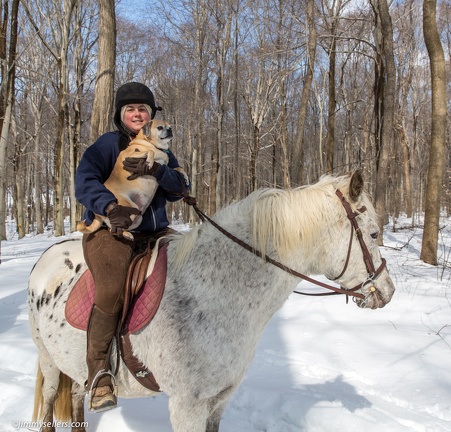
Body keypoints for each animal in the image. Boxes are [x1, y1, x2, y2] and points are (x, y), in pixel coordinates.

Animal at [28, 170, 396, 432]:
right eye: (374, 233)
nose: (388, 291)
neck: (214, 292)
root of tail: (46, 257)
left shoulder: (219, 400)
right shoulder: (187, 406)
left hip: (74, 366)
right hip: (48, 360)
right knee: (49, 405)